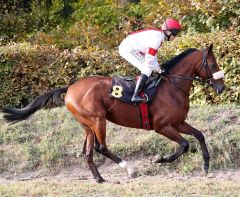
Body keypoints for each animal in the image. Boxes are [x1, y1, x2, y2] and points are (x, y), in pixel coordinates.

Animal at [2, 43, 225, 182]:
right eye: (213, 64)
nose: (221, 87)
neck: (173, 86)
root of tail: (70, 88)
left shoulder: (178, 123)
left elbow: (199, 135)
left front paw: (206, 164)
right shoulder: (161, 126)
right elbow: (185, 144)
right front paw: (159, 159)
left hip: (88, 125)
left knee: (88, 151)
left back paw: (99, 178)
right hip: (98, 120)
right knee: (102, 147)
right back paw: (129, 169)